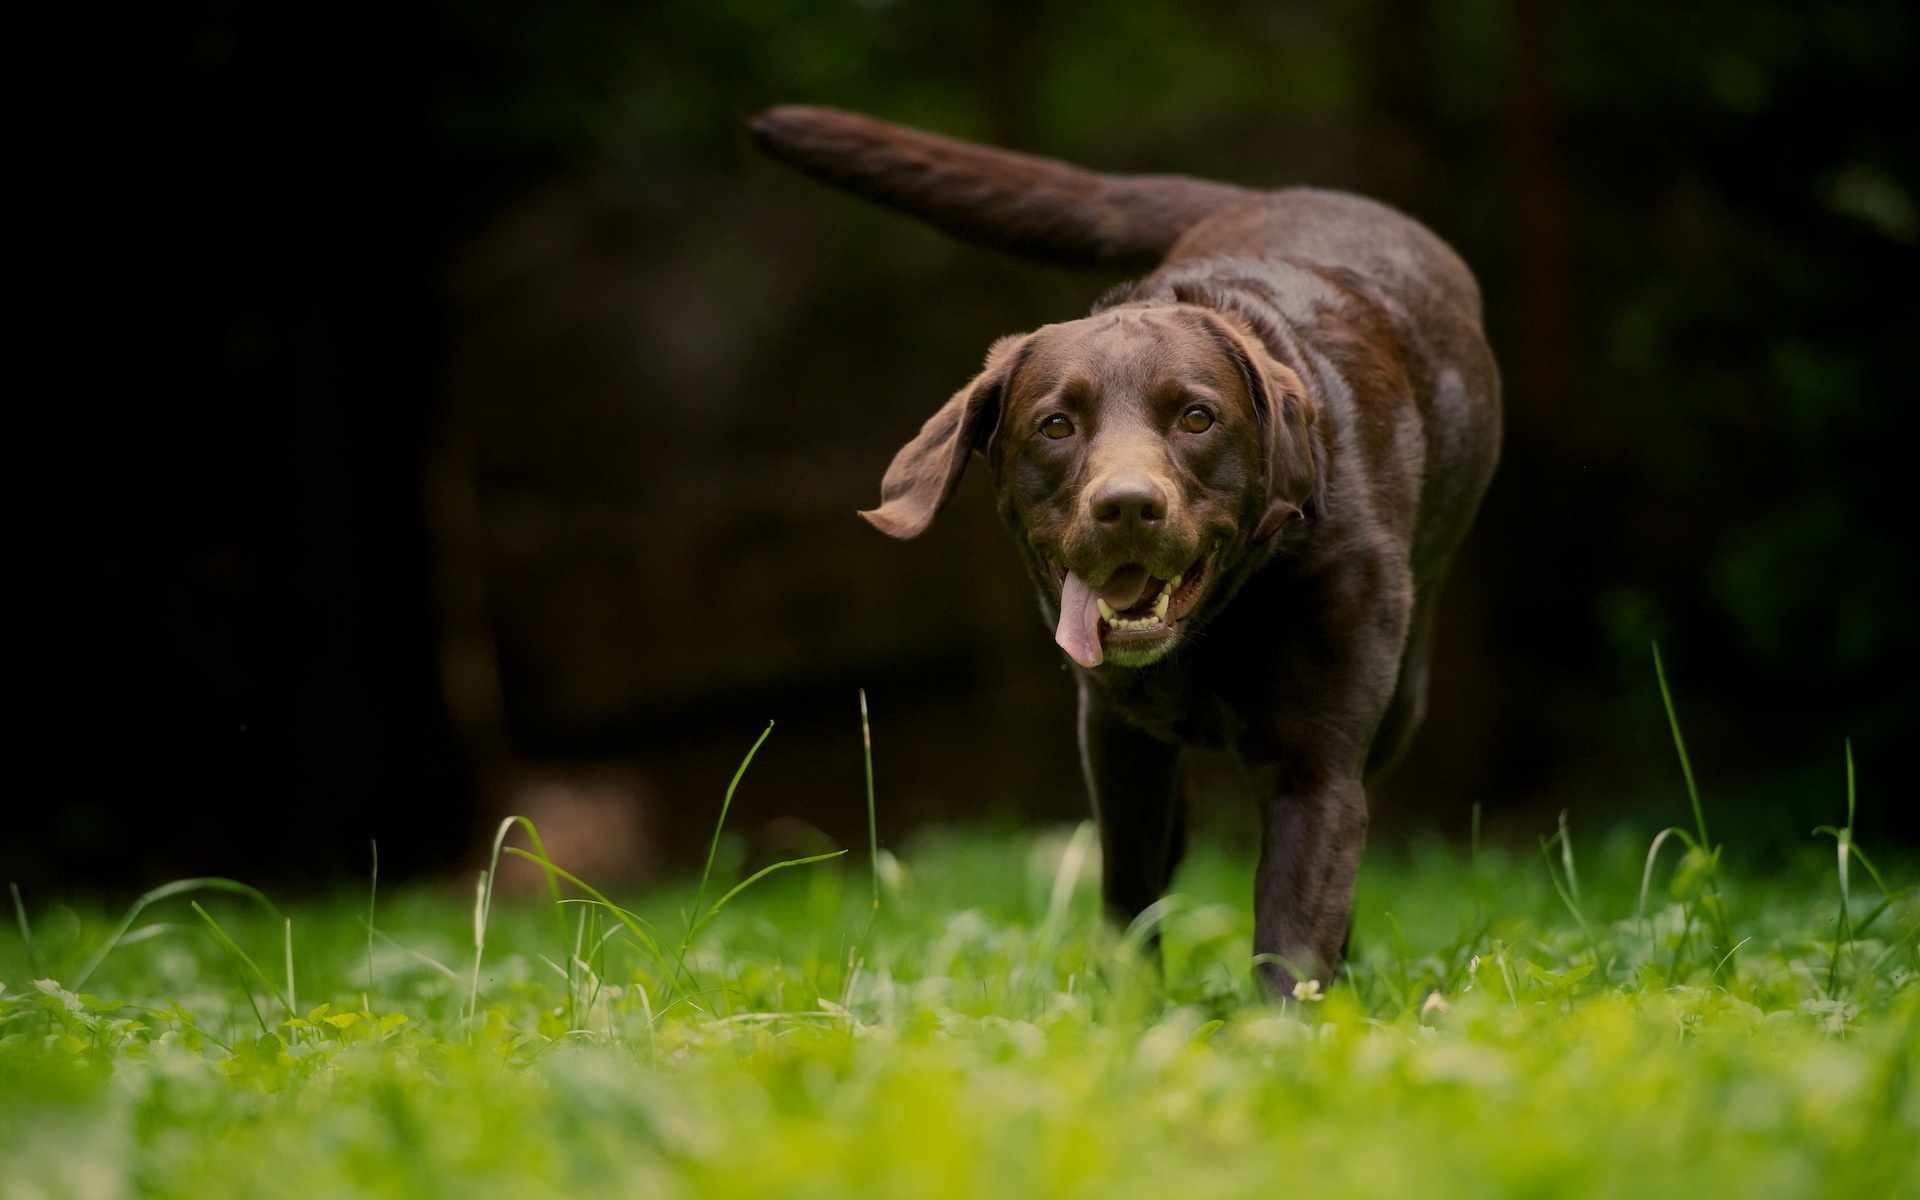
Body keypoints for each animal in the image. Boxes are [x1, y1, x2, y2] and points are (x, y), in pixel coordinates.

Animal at [748, 105, 1497, 990]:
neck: (1215, 625)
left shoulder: (1316, 761)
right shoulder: (1116, 738)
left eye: (1198, 418)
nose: (1128, 506)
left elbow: (1295, 921)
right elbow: (1131, 894)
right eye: (1056, 425)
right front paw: (1128, 1005)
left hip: (1402, 697)